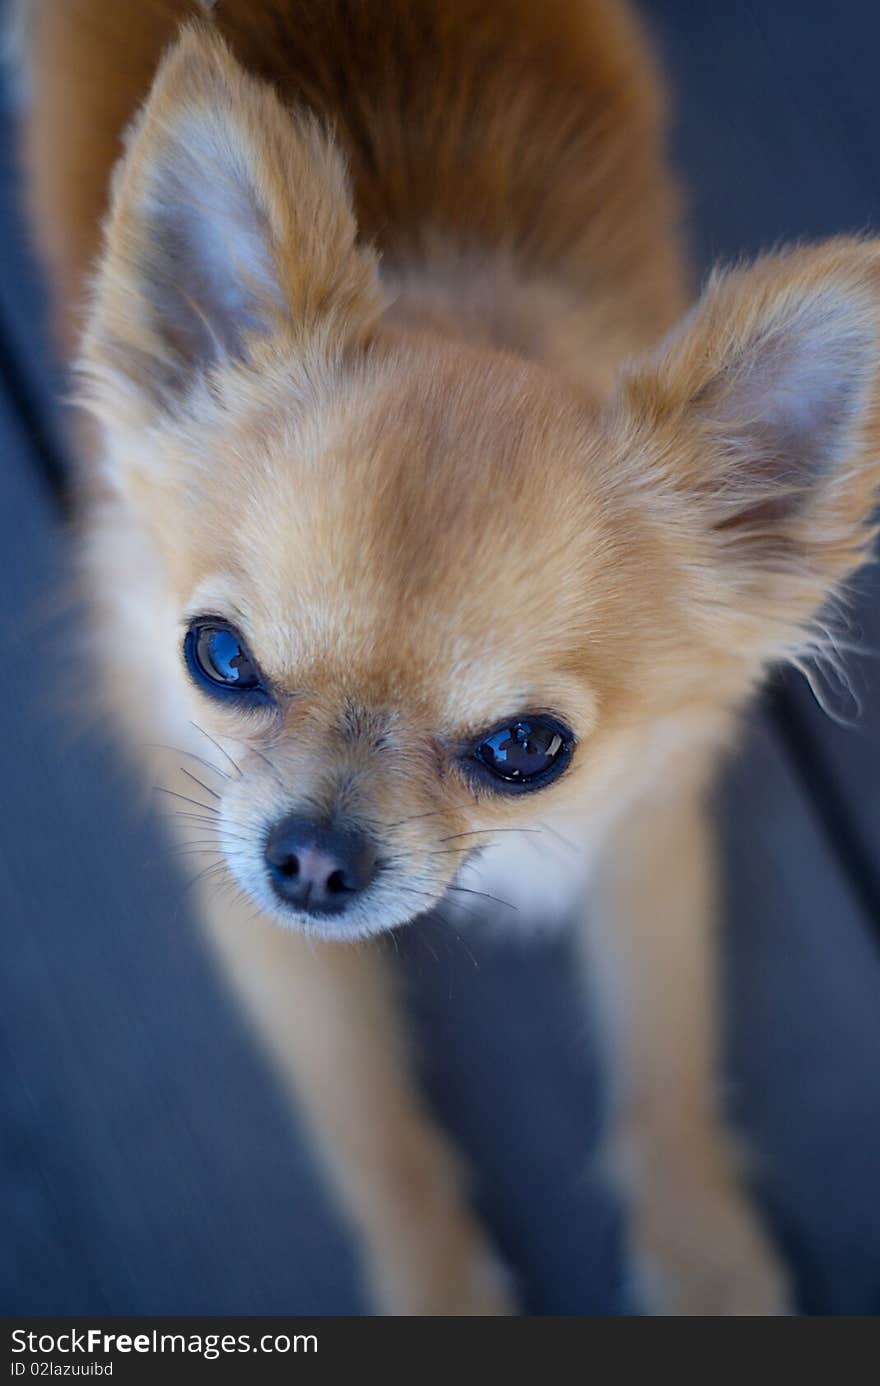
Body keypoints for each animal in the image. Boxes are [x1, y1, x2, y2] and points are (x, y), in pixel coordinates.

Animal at [17, 0, 880, 1313]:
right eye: (217, 659)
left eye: (528, 749)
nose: (313, 862)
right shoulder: (236, 881)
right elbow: (371, 1130)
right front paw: (438, 1290)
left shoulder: (642, 831)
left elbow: (666, 1065)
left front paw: (704, 1262)